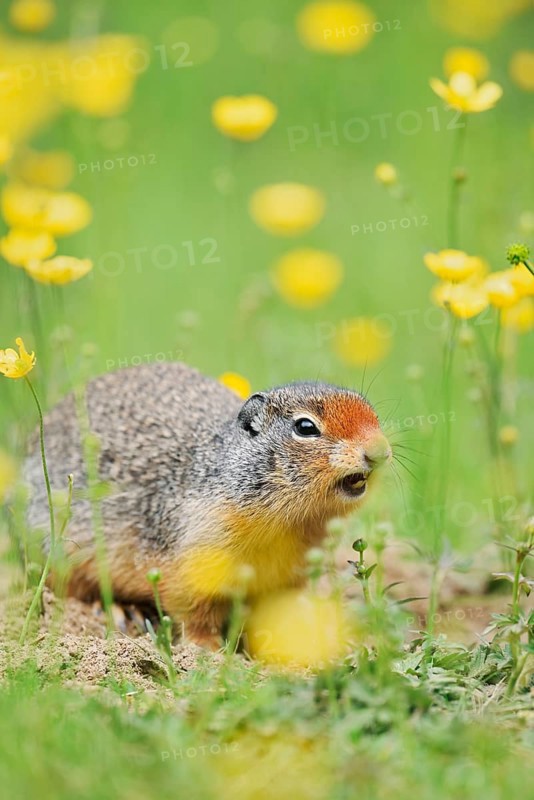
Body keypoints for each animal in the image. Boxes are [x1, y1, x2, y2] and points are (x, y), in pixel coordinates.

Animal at [24, 362, 392, 649]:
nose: (380, 451)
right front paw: (207, 651)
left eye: (373, 412)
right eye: (305, 427)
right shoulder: (195, 551)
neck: (293, 520)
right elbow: (194, 609)